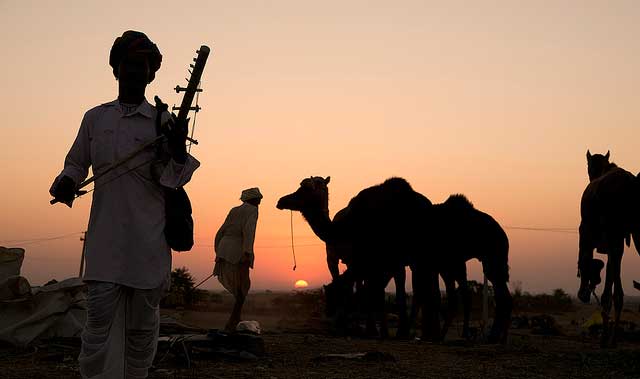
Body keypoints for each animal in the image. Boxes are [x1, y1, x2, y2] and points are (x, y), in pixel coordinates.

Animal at [576, 151, 636, 348]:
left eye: (588, 166)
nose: (591, 176)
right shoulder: (616, 243)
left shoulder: (586, 233)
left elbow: (585, 259)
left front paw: (584, 291)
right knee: (616, 287)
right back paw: (613, 337)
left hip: (610, 234)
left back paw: (606, 337)